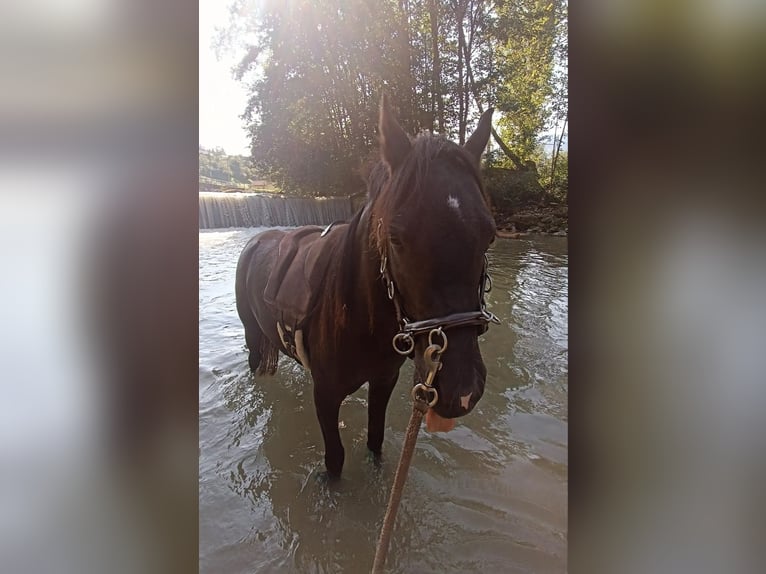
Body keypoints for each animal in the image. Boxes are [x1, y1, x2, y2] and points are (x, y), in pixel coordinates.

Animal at [236, 98, 498, 476]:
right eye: (395, 238)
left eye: (489, 235)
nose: (460, 391)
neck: (358, 317)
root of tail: (257, 240)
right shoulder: (325, 395)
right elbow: (336, 460)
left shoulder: (383, 381)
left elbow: (375, 440)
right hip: (252, 336)